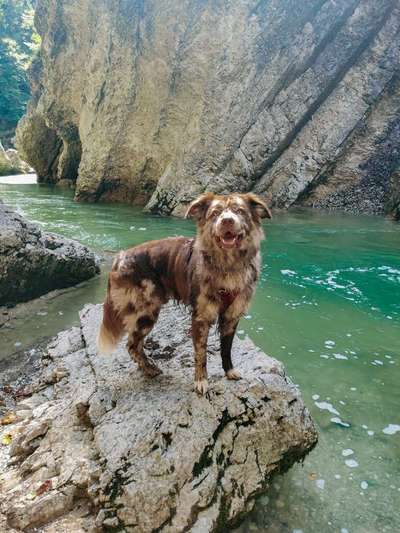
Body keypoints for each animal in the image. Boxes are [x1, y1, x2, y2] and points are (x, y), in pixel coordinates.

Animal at [97, 193, 272, 392]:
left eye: (240, 211)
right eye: (215, 213)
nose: (227, 221)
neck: (228, 266)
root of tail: (119, 258)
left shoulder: (232, 316)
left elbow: (226, 349)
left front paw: (229, 371)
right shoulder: (201, 317)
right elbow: (201, 354)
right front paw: (201, 381)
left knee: (136, 344)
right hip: (145, 313)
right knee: (132, 345)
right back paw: (149, 368)